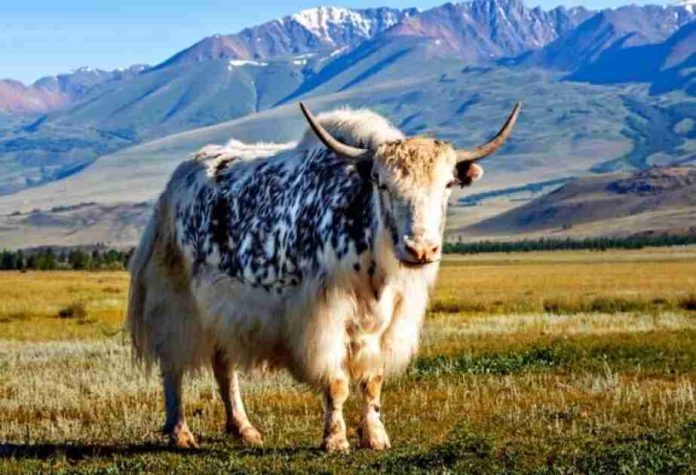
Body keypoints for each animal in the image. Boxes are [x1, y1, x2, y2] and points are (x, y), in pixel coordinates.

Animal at [126, 101, 520, 452]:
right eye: (382, 184)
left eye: (448, 185)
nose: (420, 249)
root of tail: (173, 186)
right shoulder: (324, 316)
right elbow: (336, 382)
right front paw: (335, 440)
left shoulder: (389, 320)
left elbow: (373, 381)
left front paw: (375, 437)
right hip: (176, 299)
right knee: (173, 363)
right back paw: (180, 433)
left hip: (223, 311)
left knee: (224, 365)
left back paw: (244, 429)